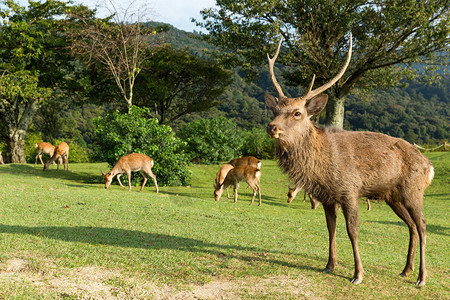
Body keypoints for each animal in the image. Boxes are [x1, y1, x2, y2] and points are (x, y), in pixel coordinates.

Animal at [266, 35, 434, 286]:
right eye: (275, 110)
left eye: (297, 113)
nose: (272, 127)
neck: (321, 168)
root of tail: (429, 165)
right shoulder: (327, 196)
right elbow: (330, 228)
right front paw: (329, 265)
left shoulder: (350, 190)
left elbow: (352, 231)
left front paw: (358, 274)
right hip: (392, 196)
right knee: (412, 225)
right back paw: (406, 270)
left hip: (413, 190)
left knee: (422, 225)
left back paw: (421, 277)